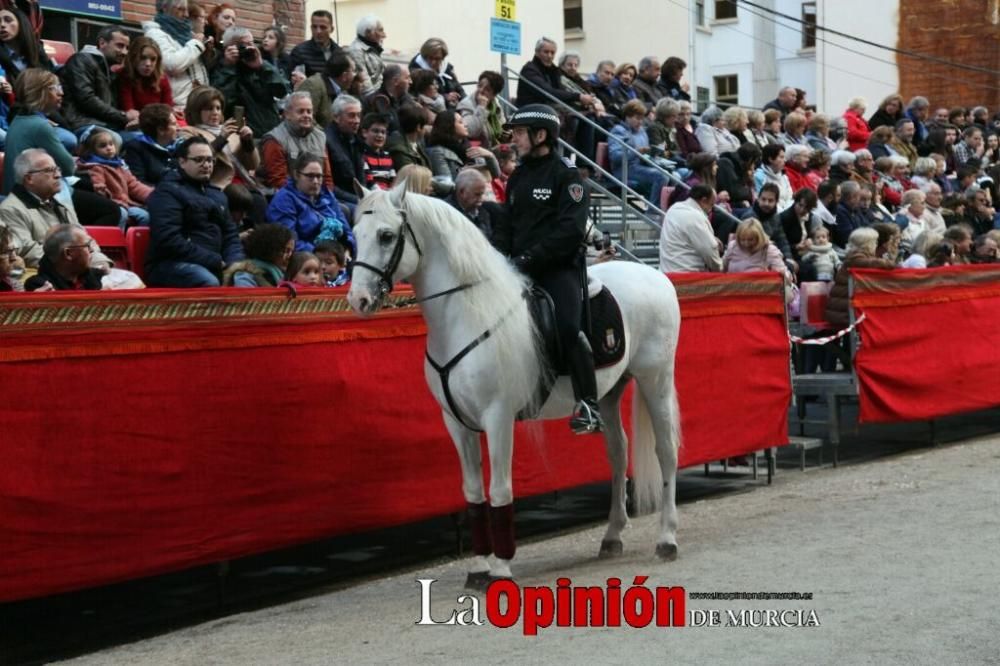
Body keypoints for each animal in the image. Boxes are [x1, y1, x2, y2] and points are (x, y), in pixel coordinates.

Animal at [348, 184, 684, 584]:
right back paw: (612, 536)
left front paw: (501, 567)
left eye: (386, 236)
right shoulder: (457, 423)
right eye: (355, 235)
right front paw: (478, 567)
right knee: (618, 453)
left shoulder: (498, 418)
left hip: (655, 378)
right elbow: (473, 491)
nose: (358, 300)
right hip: (609, 392)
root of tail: (655, 275)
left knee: (666, 451)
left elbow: (500, 488)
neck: (467, 315)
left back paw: (666, 540)